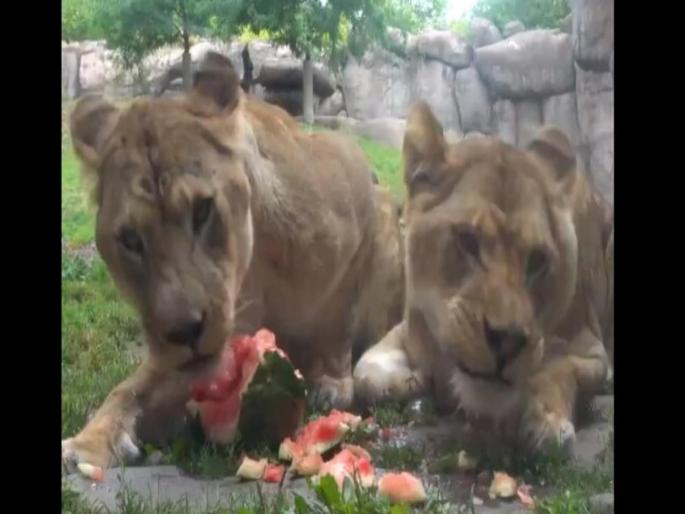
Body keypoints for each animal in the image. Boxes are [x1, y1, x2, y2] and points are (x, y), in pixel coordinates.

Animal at [62, 53, 403, 469]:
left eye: (202, 210)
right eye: (130, 240)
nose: (184, 331)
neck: (255, 269)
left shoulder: (361, 193)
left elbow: (339, 318)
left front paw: (333, 383)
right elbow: (128, 390)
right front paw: (89, 440)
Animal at [353, 102, 613, 451]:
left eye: (538, 260)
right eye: (467, 241)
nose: (508, 340)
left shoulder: (591, 348)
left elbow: (561, 368)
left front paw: (546, 421)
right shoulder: (405, 331)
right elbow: (365, 373)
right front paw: (418, 381)